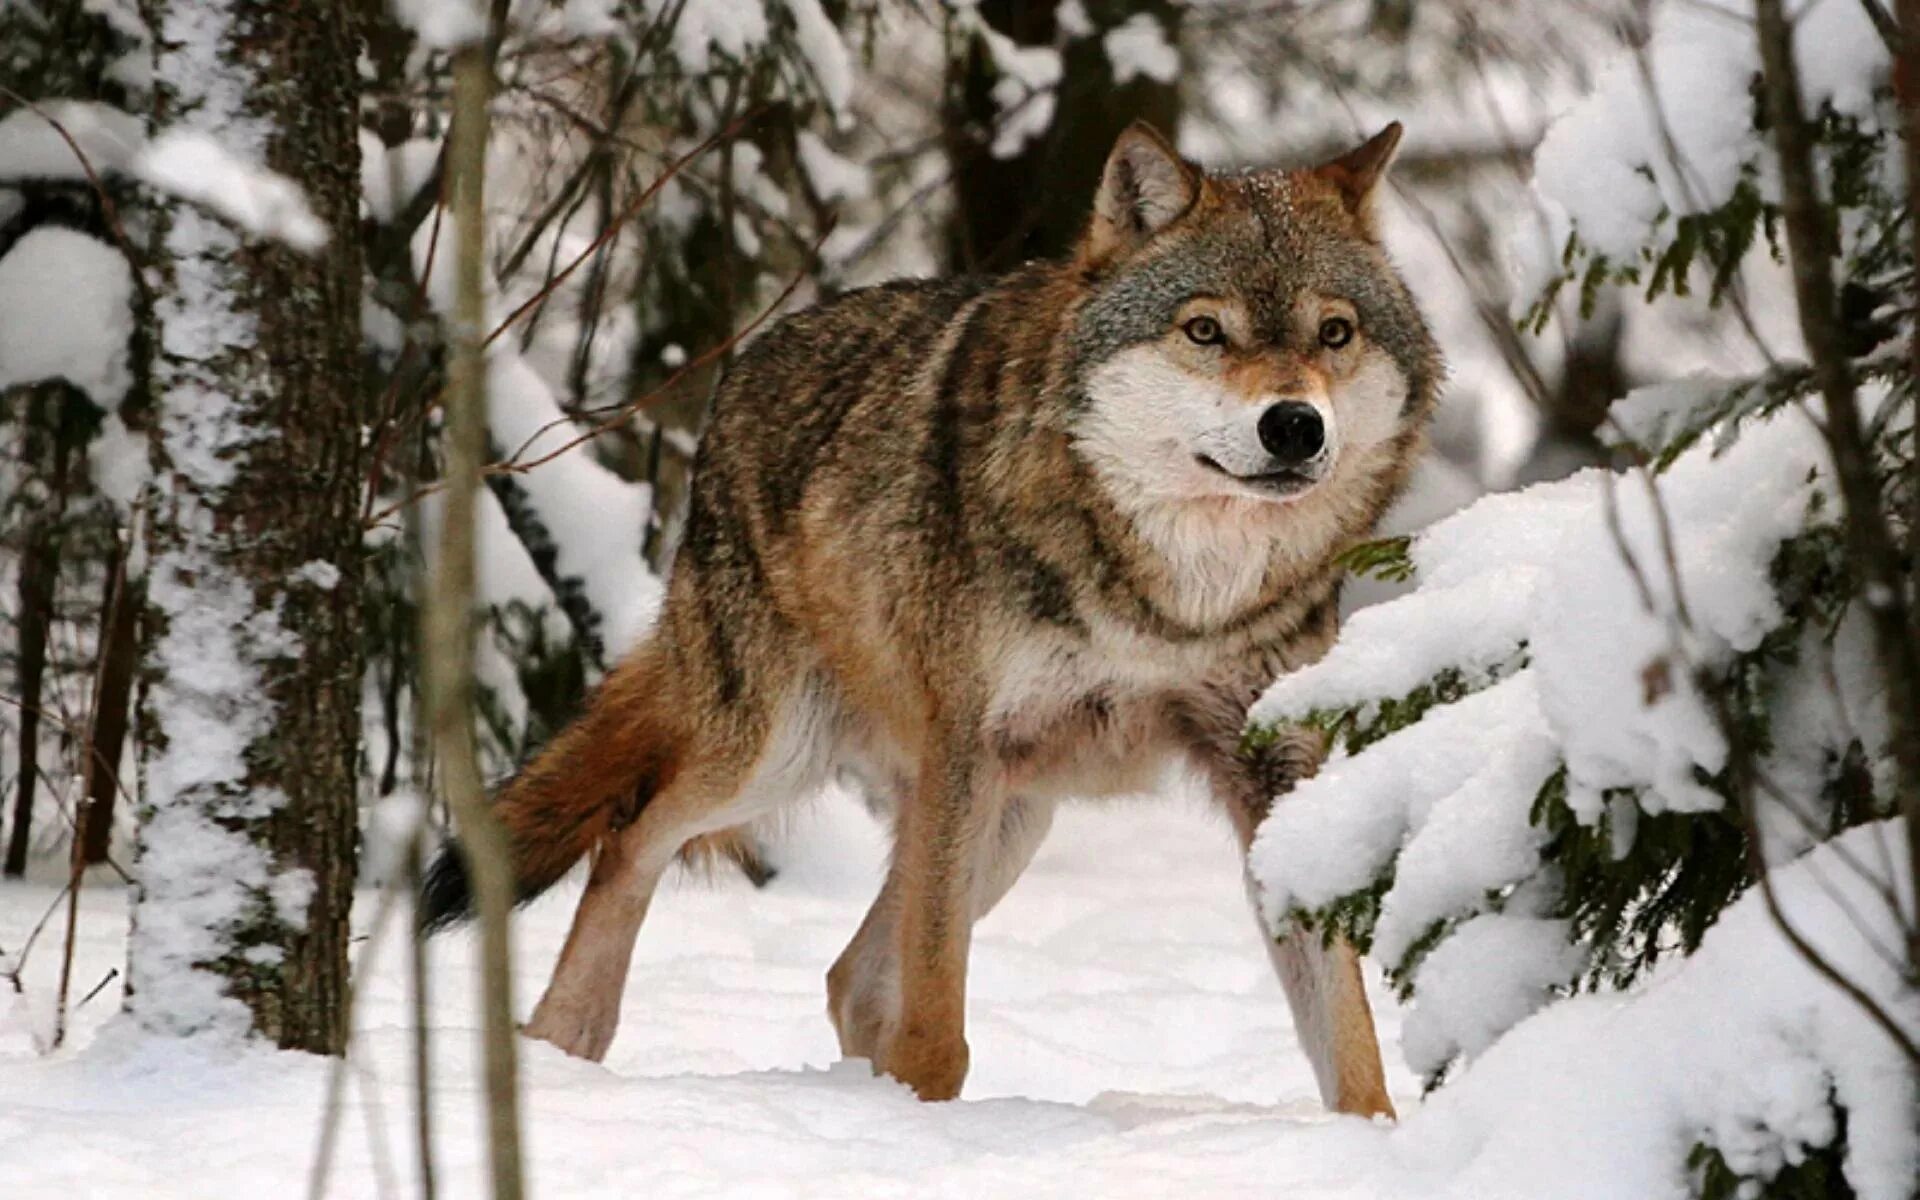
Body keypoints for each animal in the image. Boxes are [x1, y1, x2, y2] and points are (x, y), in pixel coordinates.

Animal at [420, 121, 1443, 1113]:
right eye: (1205, 330)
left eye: (1335, 332)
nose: (1294, 425)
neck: (1172, 601)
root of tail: (744, 371)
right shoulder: (966, 746)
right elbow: (936, 1018)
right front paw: (927, 1118)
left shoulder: (1276, 774)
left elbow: (1347, 1034)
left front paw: (1376, 1136)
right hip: (779, 754)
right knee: (636, 839)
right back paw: (565, 1046)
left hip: (1009, 820)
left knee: (849, 977)